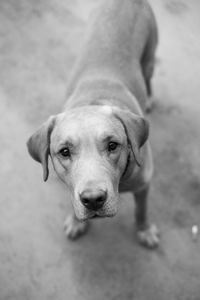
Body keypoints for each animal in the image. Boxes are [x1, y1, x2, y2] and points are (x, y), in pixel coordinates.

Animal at [27, 0, 160, 248]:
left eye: (113, 145)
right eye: (64, 151)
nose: (93, 200)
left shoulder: (144, 185)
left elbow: (142, 210)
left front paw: (145, 230)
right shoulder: (70, 185)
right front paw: (75, 222)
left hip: (149, 57)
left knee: (148, 76)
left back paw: (149, 98)